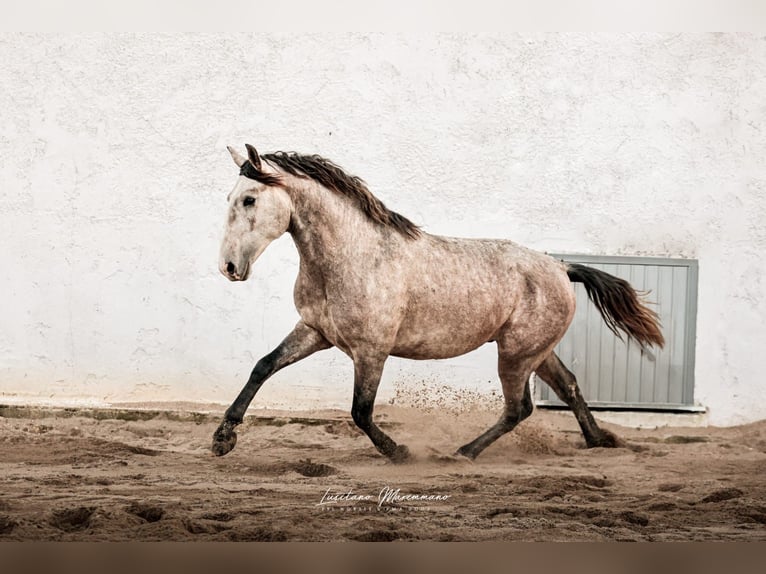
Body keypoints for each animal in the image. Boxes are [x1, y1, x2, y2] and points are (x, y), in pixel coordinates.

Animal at [212, 144, 664, 462]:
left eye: (249, 199)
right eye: (230, 196)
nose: (229, 267)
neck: (353, 256)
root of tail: (560, 267)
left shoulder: (371, 351)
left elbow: (361, 411)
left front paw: (401, 453)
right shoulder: (314, 331)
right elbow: (263, 367)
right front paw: (222, 439)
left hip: (517, 355)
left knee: (519, 408)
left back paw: (463, 453)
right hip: (535, 351)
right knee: (568, 386)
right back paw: (599, 440)